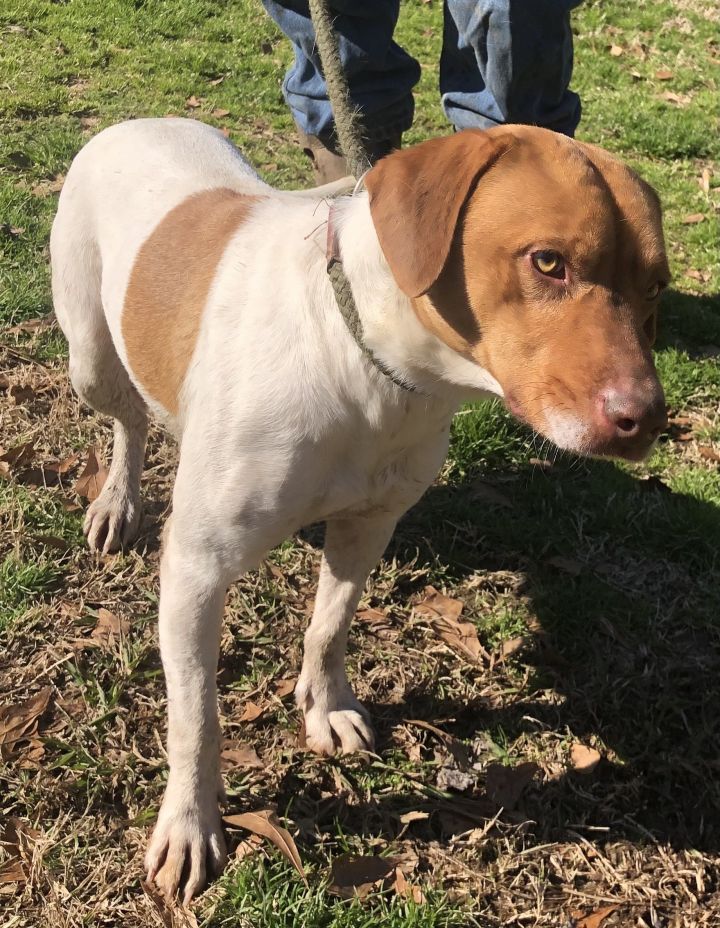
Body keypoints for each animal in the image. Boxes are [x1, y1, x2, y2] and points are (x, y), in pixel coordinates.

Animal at [50, 119, 668, 904]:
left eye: (658, 285)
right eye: (549, 262)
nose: (647, 420)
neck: (370, 370)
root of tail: (136, 121)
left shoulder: (370, 524)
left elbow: (330, 626)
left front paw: (326, 708)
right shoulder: (195, 572)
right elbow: (196, 717)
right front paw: (190, 824)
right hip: (90, 359)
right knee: (126, 416)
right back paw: (119, 500)